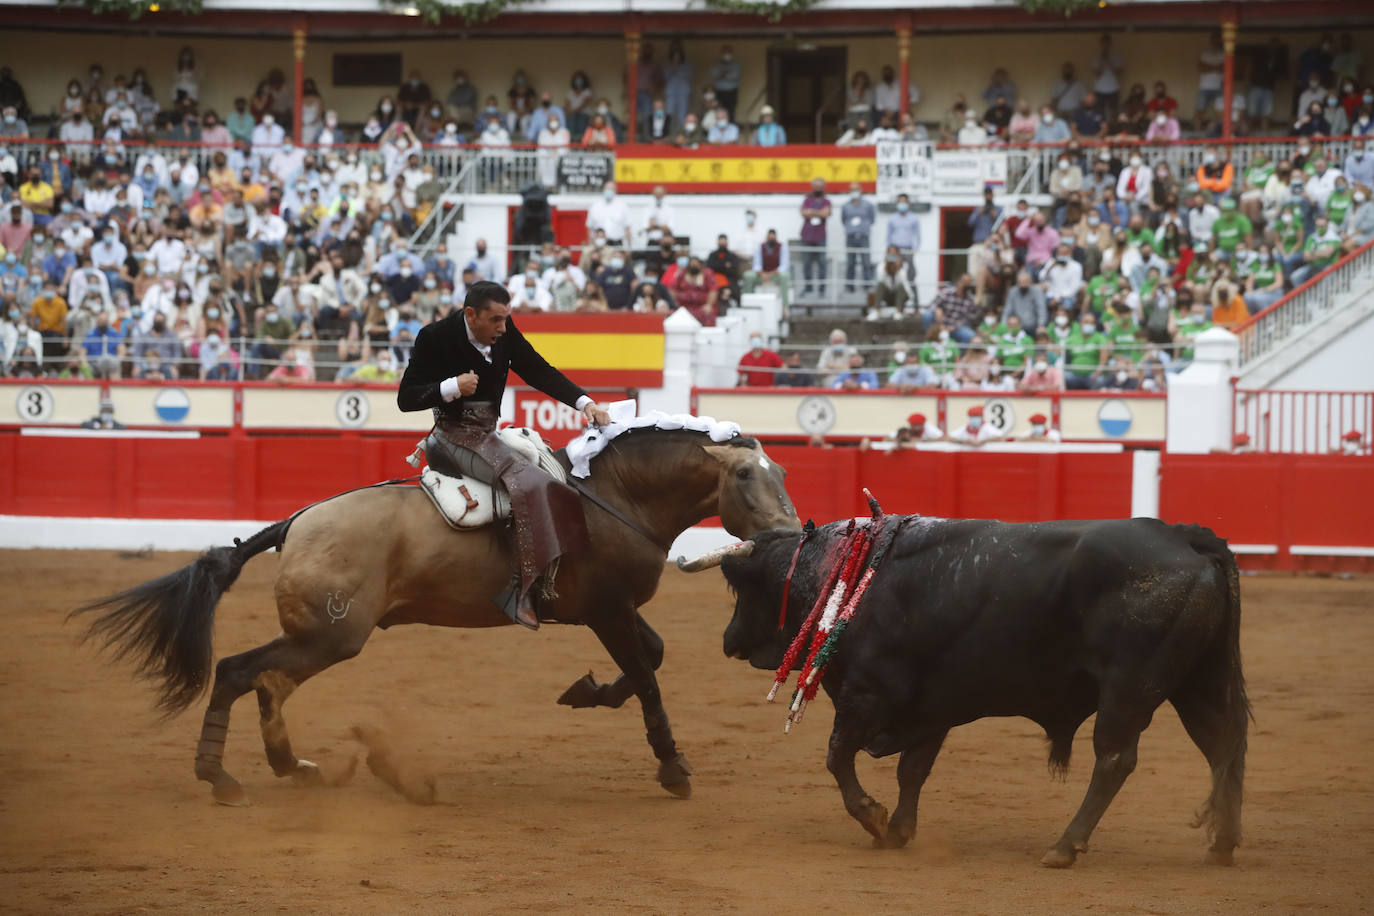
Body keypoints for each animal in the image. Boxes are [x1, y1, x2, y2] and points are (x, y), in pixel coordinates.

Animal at [75, 431, 802, 802]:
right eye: (745, 476)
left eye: (784, 472)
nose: (792, 534)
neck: (614, 496)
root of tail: (296, 523)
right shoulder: (606, 609)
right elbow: (649, 675)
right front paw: (673, 767)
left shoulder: (610, 612)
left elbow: (649, 660)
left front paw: (586, 691)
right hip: (331, 636)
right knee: (243, 673)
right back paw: (227, 776)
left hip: (317, 637)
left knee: (259, 680)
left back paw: (292, 769)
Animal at [714, 516, 1253, 867]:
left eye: (745, 589)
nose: (727, 640)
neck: (848, 575)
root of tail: (1184, 538)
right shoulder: (930, 708)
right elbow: (913, 770)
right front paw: (899, 830)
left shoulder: (865, 693)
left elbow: (837, 757)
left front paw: (874, 819)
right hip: (1199, 683)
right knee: (1222, 746)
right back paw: (1223, 843)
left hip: (1128, 688)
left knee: (1116, 759)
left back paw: (1064, 847)